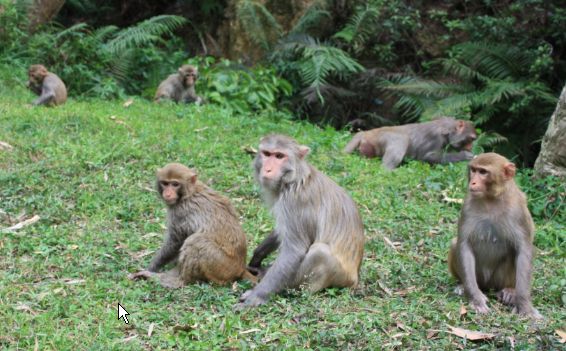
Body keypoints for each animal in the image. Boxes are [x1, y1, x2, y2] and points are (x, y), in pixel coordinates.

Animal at [236, 133, 366, 310]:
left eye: (279, 156)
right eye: (267, 154)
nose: (268, 169)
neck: (293, 180)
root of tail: (354, 279)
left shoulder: (296, 203)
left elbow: (294, 251)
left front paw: (256, 296)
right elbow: (281, 232)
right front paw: (257, 256)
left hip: (339, 276)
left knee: (320, 251)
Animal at [450, 153, 544, 320]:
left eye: (483, 172)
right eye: (473, 170)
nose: (473, 182)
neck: (491, 198)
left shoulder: (518, 209)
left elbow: (524, 249)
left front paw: (524, 305)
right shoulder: (467, 205)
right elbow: (463, 244)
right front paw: (476, 299)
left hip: (497, 280)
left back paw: (509, 290)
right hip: (480, 278)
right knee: (455, 244)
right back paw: (462, 285)